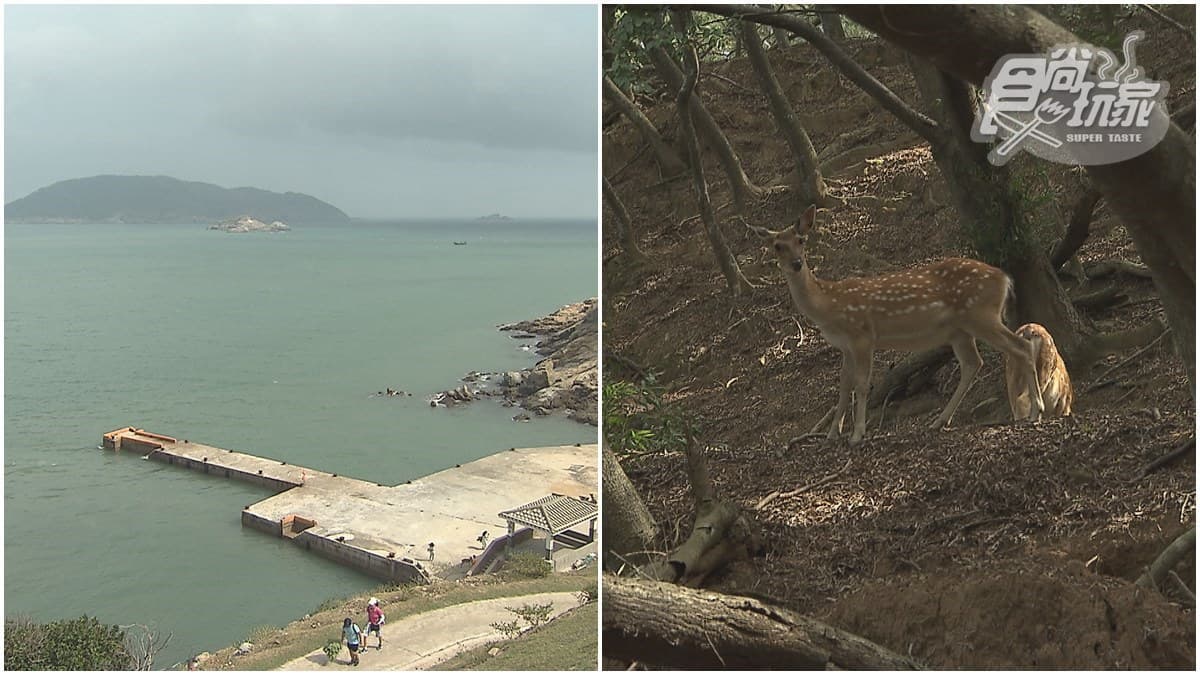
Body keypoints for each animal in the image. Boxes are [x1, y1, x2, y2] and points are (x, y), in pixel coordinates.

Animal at [749, 205, 1045, 445]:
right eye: (778, 245)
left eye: (801, 240)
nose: (796, 263)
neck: (830, 306)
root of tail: (1005, 278)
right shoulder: (844, 346)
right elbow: (843, 387)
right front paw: (833, 434)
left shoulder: (862, 335)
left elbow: (861, 384)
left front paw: (857, 434)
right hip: (960, 330)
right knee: (974, 363)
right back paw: (939, 421)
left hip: (981, 315)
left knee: (1019, 346)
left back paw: (1036, 411)